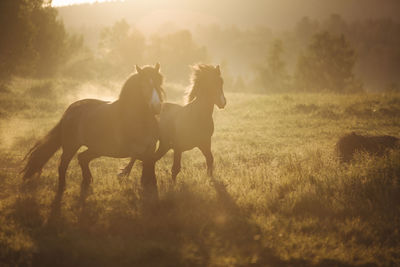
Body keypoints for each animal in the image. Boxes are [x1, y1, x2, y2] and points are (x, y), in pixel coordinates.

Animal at [22, 64, 164, 199]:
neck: (138, 119)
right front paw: (125, 174)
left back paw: (87, 181)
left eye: (159, 83)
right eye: (143, 84)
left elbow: (148, 164)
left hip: (97, 149)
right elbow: (145, 161)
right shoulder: (133, 150)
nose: (156, 107)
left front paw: (148, 185)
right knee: (63, 165)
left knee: (82, 158)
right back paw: (62, 188)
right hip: (72, 146)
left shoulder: (149, 148)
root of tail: (70, 110)